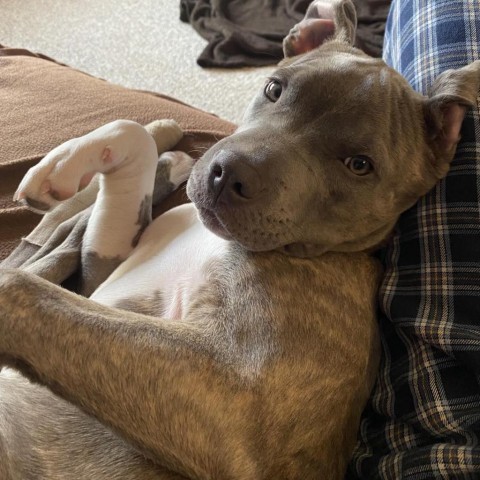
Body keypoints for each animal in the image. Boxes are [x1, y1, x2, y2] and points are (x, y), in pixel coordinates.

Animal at [0, 0, 478, 478]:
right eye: (274, 88)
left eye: (360, 165)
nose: (229, 174)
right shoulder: (99, 268)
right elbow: (133, 132)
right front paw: (65, 169)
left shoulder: (237, 399)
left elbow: (21, 288)